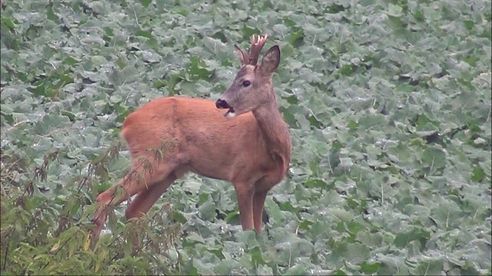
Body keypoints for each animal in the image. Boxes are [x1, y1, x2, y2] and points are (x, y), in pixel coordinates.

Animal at [91, 34, 292, 242]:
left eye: (246, 82)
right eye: (235, 78)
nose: (221, 102)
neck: (272, 150)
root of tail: (128, 122)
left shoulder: (264, 187)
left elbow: (258, 232)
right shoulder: (241, 177)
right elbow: (248, 229)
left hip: (168, 172)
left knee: (133, 211)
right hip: (150, 161)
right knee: (104, 198)